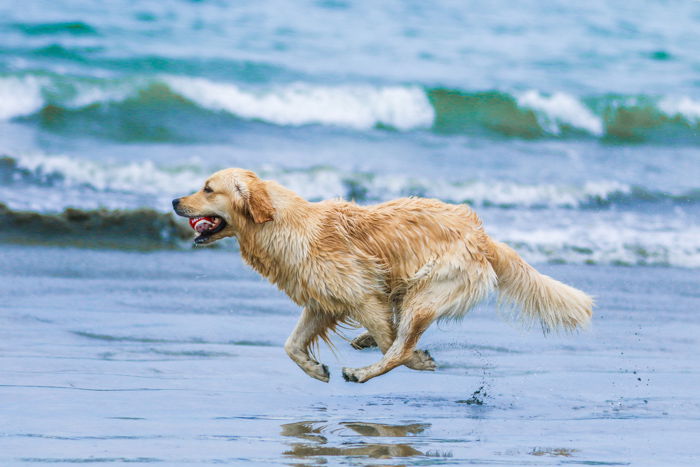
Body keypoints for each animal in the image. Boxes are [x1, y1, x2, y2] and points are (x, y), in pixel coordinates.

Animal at [172, 168, 592, 384]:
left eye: (207, 189)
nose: (174, 200)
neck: (282, 224)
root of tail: (482, 236)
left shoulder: (363, 296)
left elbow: (395, 345)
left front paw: (418, 360)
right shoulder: (323, 302)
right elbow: (291, 345)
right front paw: (314, 368)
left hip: (426, 290)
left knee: (400, 343)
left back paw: (366, 369)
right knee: (395, 332)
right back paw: (364, 343)